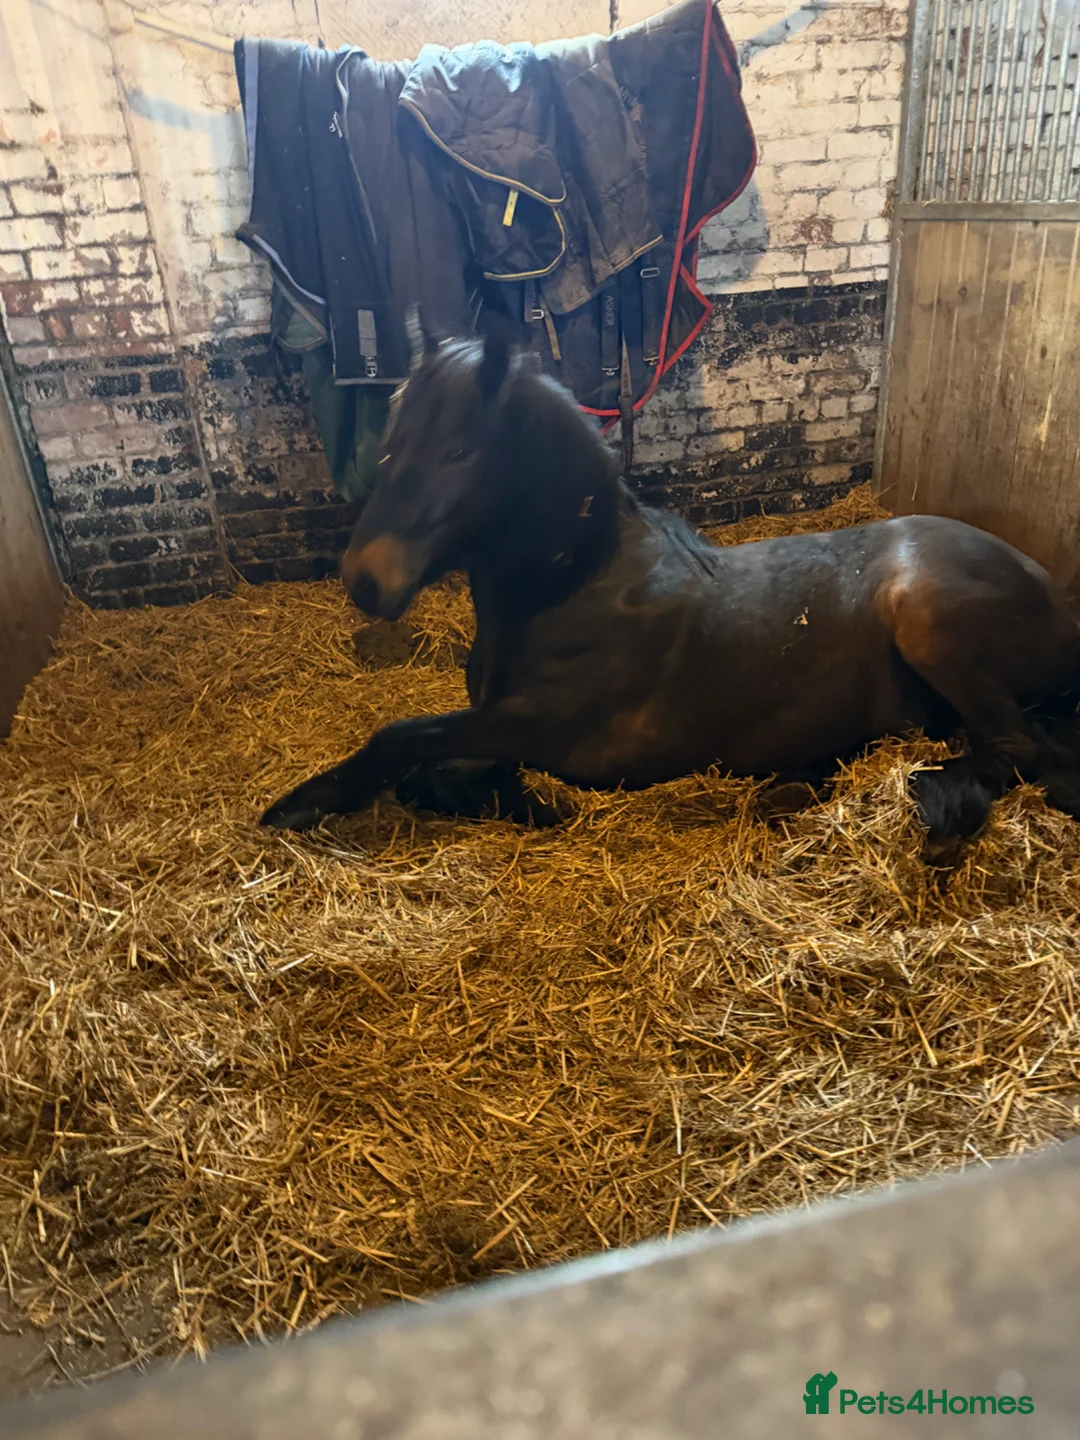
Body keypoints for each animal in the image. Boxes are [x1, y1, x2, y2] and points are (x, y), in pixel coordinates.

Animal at [260, 324, 1080, 863]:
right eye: (392, 440)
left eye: (460, 450)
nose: (365, 578)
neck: (577, 590)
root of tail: (1049, 590)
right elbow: (427, 766)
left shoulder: (538, 728)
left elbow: (402, 740)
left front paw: (301, 804)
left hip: (927, 619)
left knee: (1014, 746)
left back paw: (932, 803)